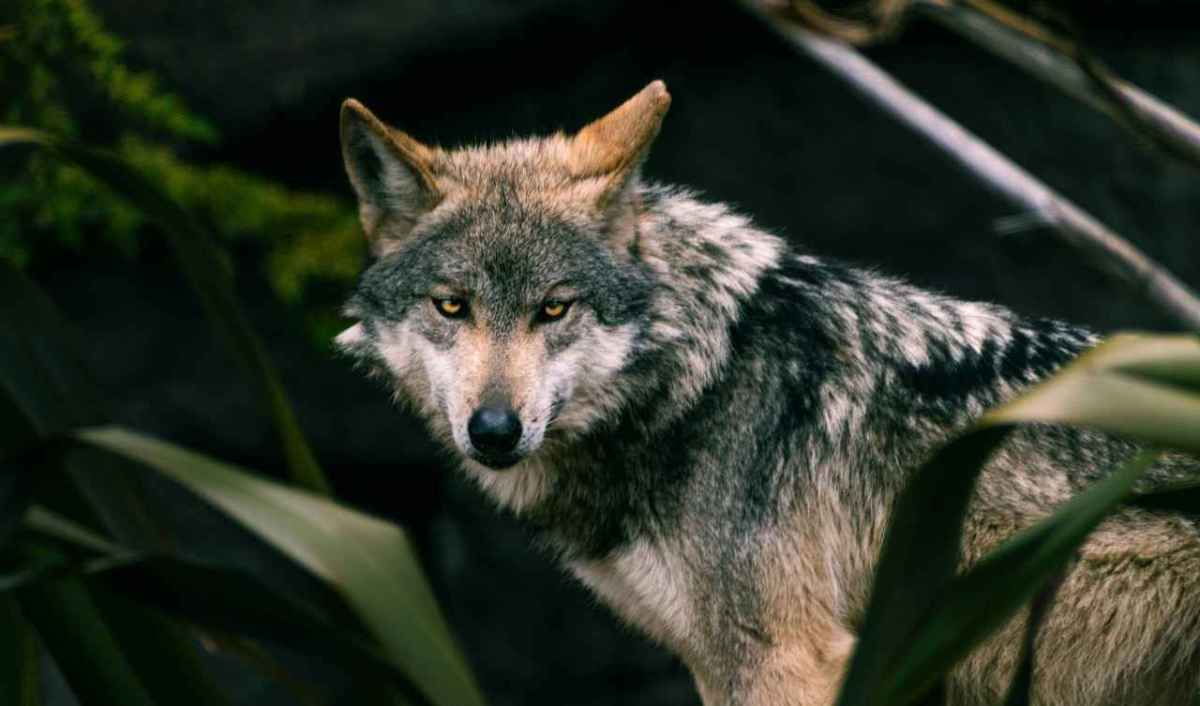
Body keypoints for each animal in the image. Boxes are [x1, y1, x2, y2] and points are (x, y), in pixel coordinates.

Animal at [334, 81, 1200, 705]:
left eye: (554, 308)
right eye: (452, 306)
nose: (494, 429)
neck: (700, 380)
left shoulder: (785, 661)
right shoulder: (718, 662)